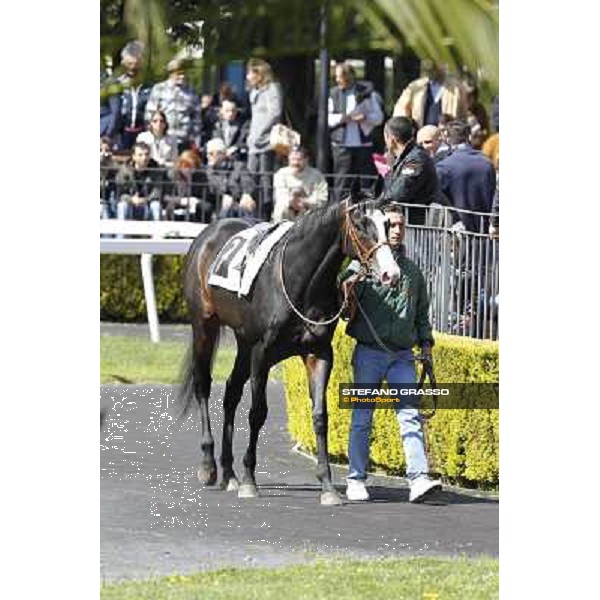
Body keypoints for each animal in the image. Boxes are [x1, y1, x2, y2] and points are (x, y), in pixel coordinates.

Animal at [178, 198, 398, 506]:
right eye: (359, 224)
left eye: (387, 223)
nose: (392, 273)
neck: (302, 282)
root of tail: (210, 230)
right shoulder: (262, 353)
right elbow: (257, 413)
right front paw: (249, 480)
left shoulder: (319, 354)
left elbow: (320, 416)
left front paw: (327, 486)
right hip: (204, 325)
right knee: (202, 386)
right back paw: (209, 465)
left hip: (243, 341)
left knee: (231, 392)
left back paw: (228, 473)